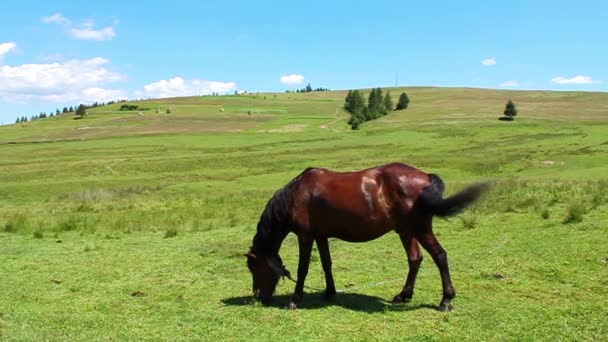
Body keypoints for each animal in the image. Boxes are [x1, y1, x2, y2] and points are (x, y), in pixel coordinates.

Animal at [245, 164, 486, 312]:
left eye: (253, 268)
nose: (258, 296)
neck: (297, 194)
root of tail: (425, 177)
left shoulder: (305, 236)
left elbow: (303, 268)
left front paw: (294, 300)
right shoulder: (321, 236)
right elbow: (326, 263)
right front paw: (329, 292)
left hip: (419, 229)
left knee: (440, 256)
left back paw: (445, 300)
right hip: (406, 231)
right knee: (415, 259)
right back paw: (403, 295)